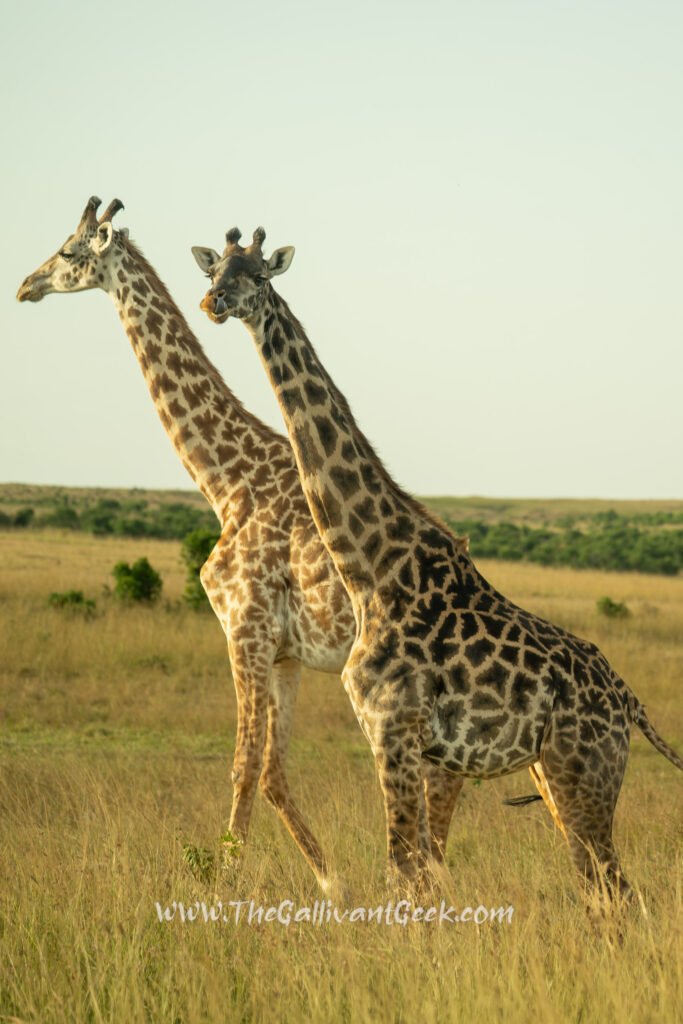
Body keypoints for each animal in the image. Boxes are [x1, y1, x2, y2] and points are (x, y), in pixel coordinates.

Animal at [16, 196, 465, 892]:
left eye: (68, 251)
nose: (25, 287)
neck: (227, 480)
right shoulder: (284, 654)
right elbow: (275, 773)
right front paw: (332, 884)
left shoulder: (244, 629)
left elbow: (243, 766)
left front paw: (224, 884)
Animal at [194, 225, 682, 903]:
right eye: (216, 269)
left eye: (259, 275)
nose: (213, 302)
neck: (371, 570)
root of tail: (629, 702)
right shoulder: (409, 745)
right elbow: (421, 874)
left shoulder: (392, 731)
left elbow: (404, 870)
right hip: (566, 779)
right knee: (603, 893)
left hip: (583, 774)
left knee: (616, 892)